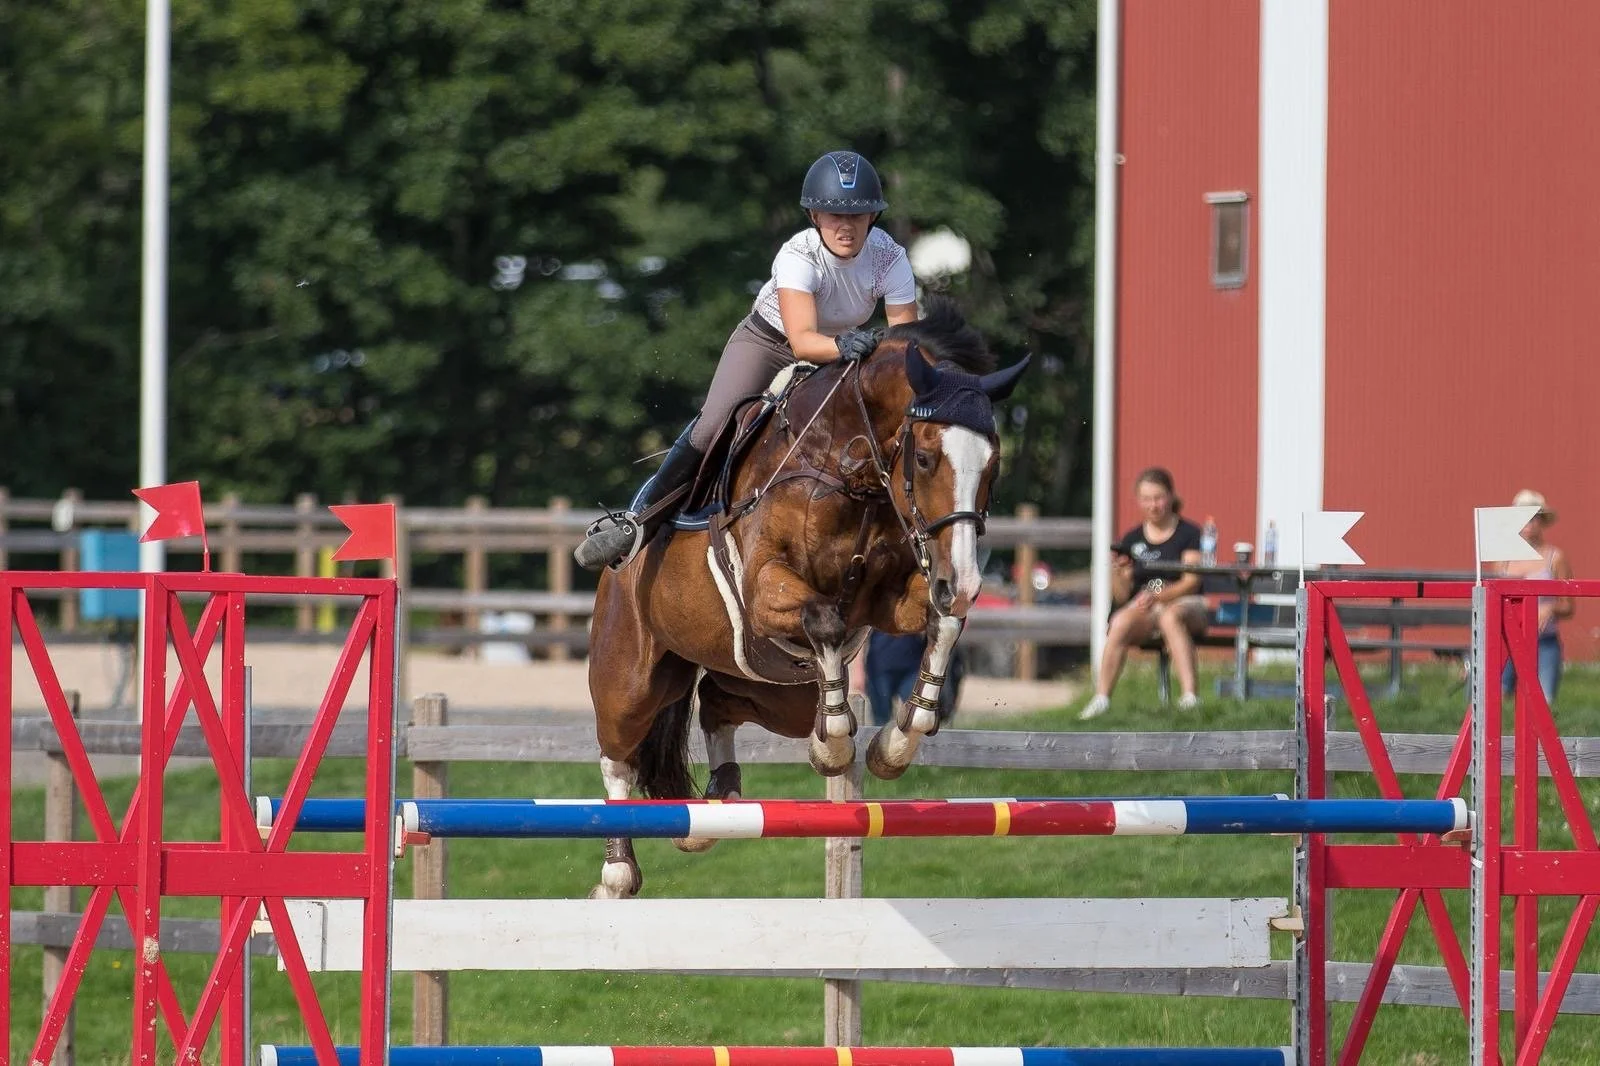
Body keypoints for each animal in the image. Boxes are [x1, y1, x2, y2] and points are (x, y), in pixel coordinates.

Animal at [585, 297, 1029, 898]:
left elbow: (941, 624)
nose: (962, 582)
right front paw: (835, 743)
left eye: (994, 463)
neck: (848, 469)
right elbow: (825, 621)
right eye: (925, 459)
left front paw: (893, 745)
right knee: (619, 754)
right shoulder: (766, 587)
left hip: (769, 688)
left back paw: (719, 802)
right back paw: (617, 871)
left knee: (718, 703)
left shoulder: (889, 598)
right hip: (631, 673)